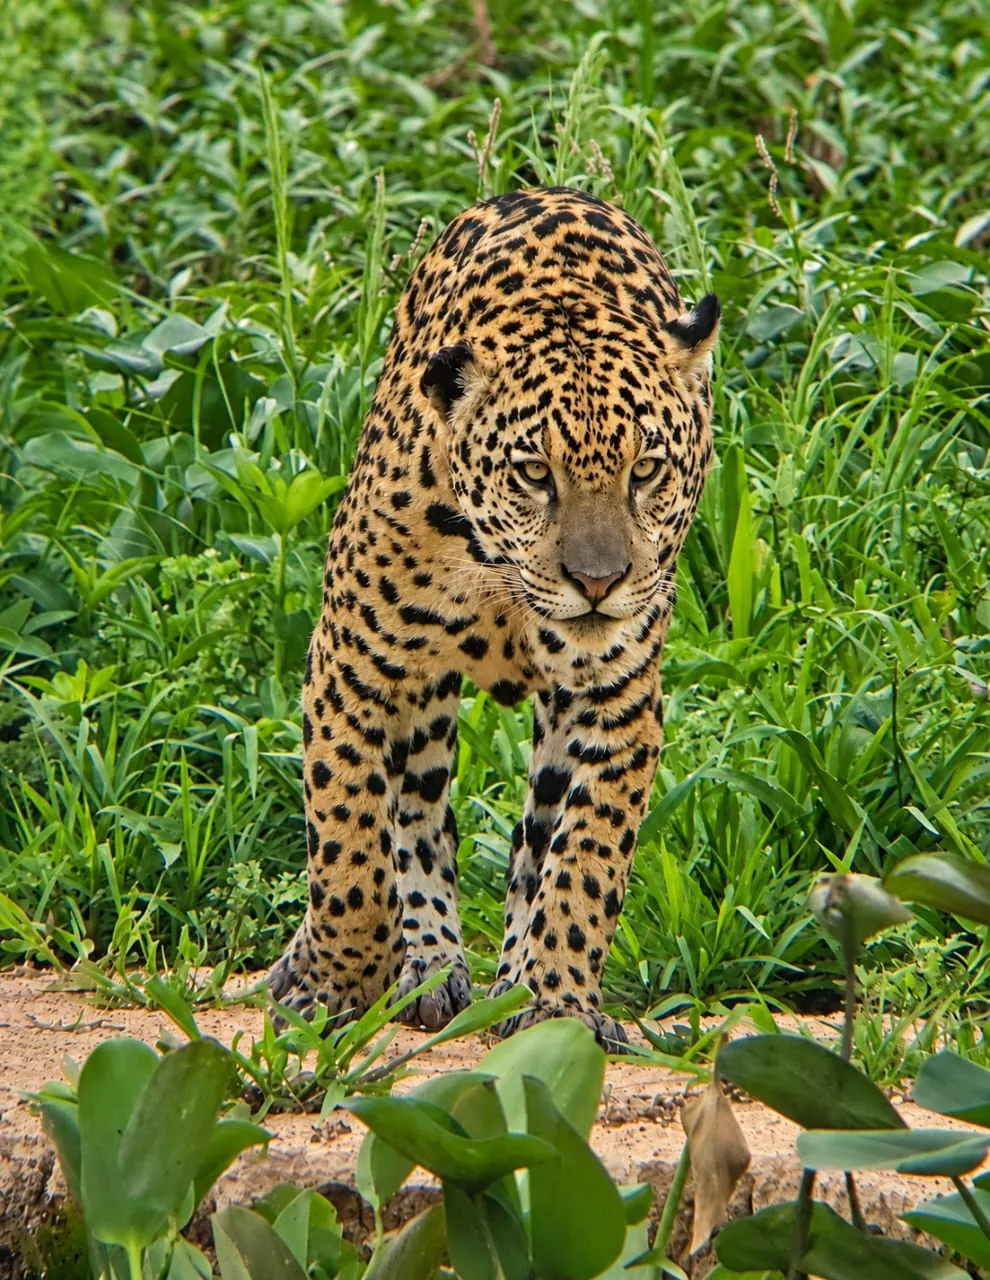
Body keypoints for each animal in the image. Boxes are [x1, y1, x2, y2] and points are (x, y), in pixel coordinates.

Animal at [269, 186, 719, 1048]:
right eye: (534, 473)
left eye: (646, 469)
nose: (600, 582)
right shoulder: (352, 667)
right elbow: (348, 841)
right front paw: (334, 987)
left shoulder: (618, 700)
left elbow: (586, 860)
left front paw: (558, 1004)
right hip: (416, 697)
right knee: (416, 817)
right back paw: (424, 966)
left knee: (530, 840)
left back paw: (509, 980)